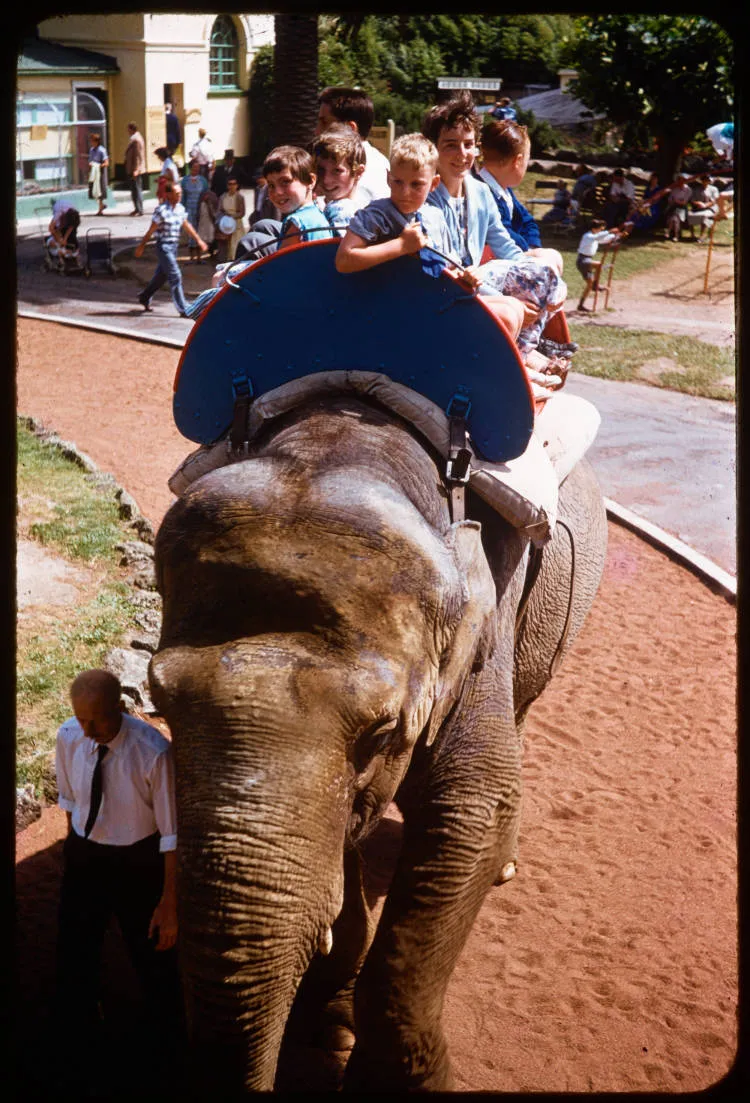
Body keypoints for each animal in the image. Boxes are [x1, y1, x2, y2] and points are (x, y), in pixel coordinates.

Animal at [149, 391, 608, 1092]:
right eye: (159, 704)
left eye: (383, 731)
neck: (346, 445)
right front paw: (329, 1024)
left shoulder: (488, 624)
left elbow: (473, 808)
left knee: (522, 712)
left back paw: (506, 862)